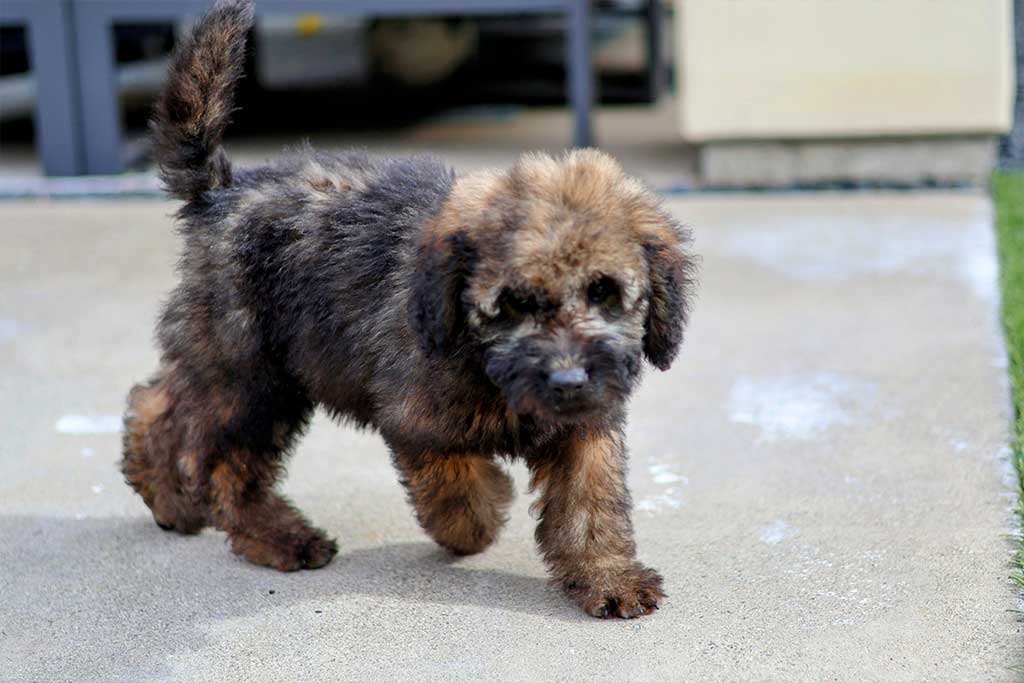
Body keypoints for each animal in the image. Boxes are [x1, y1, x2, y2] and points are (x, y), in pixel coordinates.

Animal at [119, 0, 696, 618]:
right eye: (514, 302)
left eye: (604, 291)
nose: (568, 381)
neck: (484, 362)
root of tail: (223, 190)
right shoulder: (414, 417)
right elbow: (457, 479)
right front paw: (477, 520)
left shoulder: (587, 421)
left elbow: (592, 499)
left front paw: (609, 576)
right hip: (249, 374)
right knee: (216, 452)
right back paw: (275, 536)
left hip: (239, 368)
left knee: (160, 403)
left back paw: (169, 498)